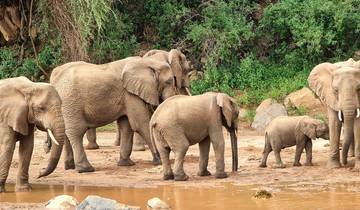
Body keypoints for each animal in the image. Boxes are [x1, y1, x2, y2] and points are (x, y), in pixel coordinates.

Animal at [50, 55, 179, 172]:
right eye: (168, 81)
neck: (146, 62)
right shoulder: (130, 94)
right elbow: (140, 123)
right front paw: (158, 161)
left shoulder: (126, 95)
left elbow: (126, 126)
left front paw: (126, 164)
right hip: (71, 102)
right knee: (76, 132)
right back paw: (86, 169)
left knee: (67, 132)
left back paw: (70, 167)